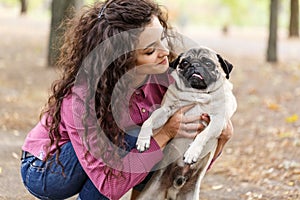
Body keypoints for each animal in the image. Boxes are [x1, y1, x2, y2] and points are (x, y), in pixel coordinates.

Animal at [135, 46, 237, 198]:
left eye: (208, 63)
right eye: (184, 63)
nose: (194, 65)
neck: (197, 94)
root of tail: (176, 185)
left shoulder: (218, 120)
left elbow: (202, 135)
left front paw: (192, 152)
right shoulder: (165, 110)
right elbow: (148, 121)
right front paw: (143, 141)